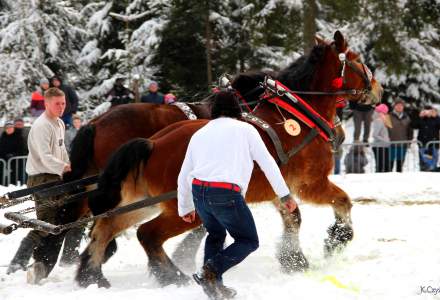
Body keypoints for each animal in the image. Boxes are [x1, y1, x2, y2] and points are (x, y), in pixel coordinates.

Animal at [75, 31, 382, 288]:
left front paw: (294, 260)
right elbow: (342, 201)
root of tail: (153, 143)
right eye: (358, 61)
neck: (297, 114)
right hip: (183, 210)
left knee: (105, 227)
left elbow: (293, 217)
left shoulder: (278, 187)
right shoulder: (311, 184)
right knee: (146, 234)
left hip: (141, 200)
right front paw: (337, 238)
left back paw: (92, 276)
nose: (378, 90)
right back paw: (172, 276)